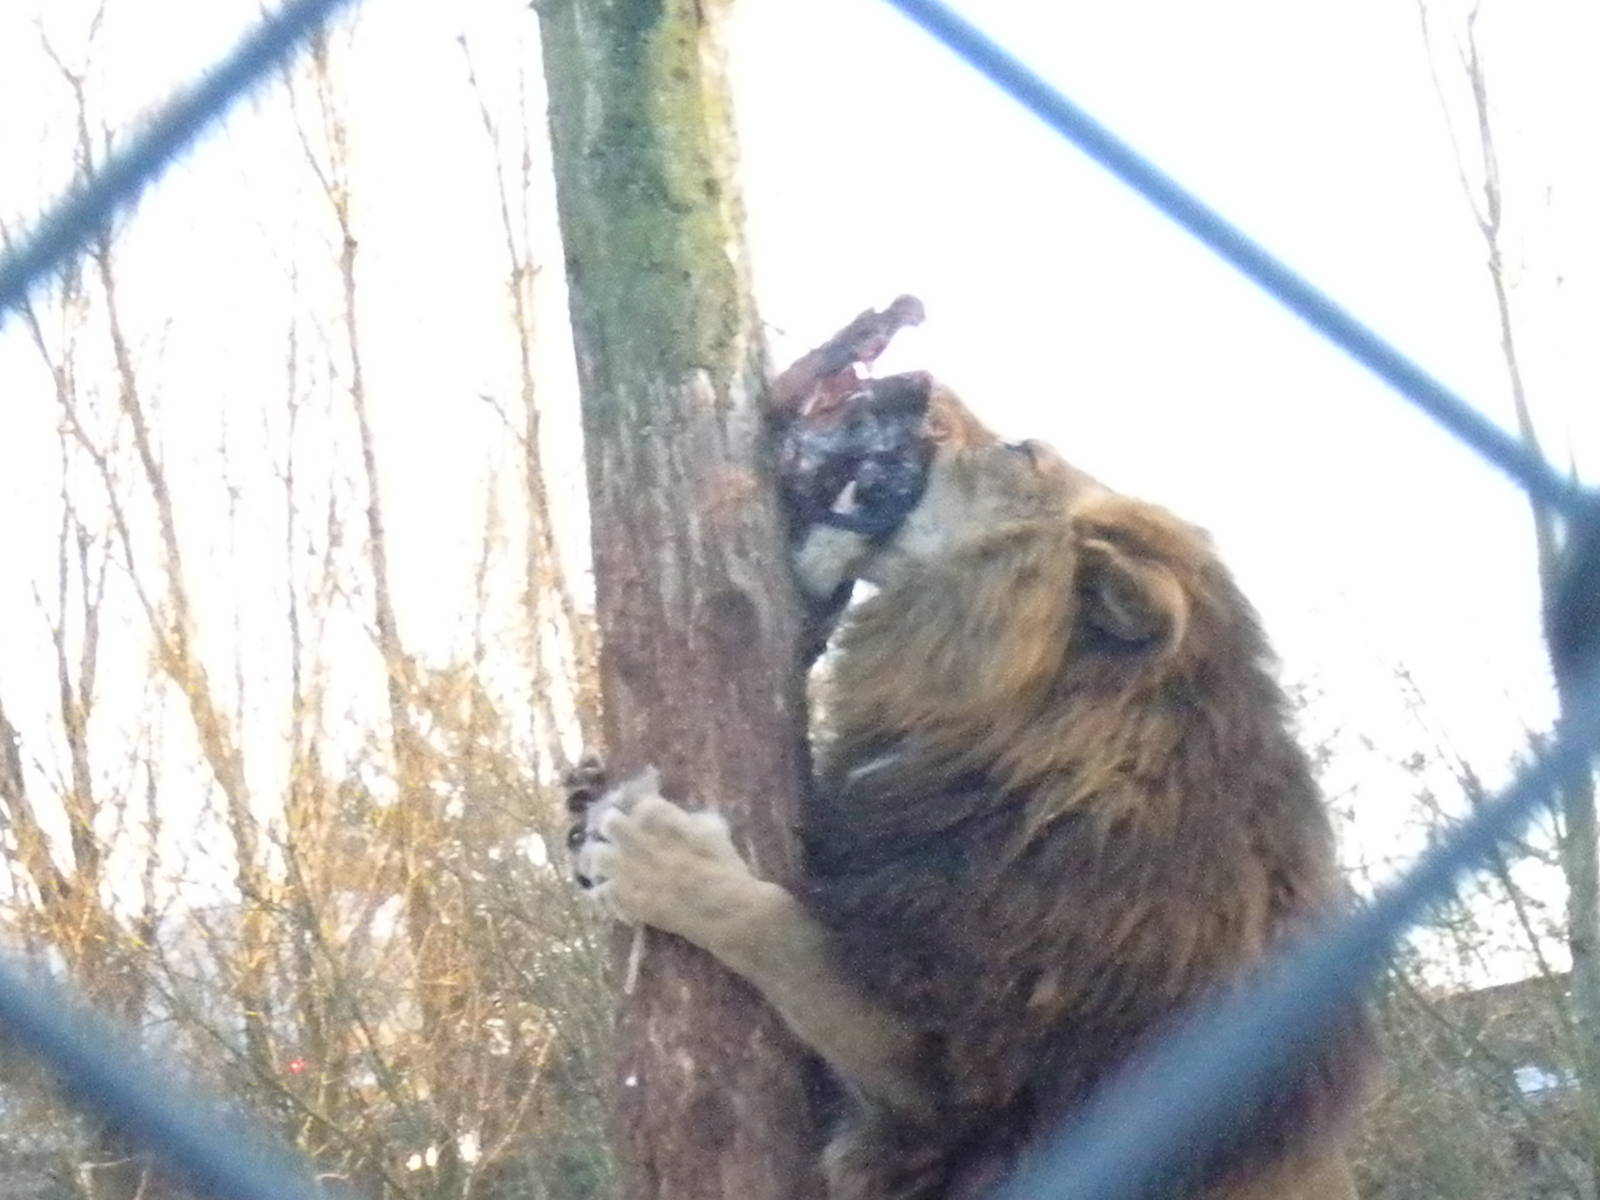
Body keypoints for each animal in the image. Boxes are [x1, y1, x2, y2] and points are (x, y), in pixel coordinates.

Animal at [571, 373, 1371, 1200]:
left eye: (1019, 451)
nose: (921, 384)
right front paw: (585, 789)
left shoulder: (946, 1091)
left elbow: (779, 928)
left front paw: (664, 860)